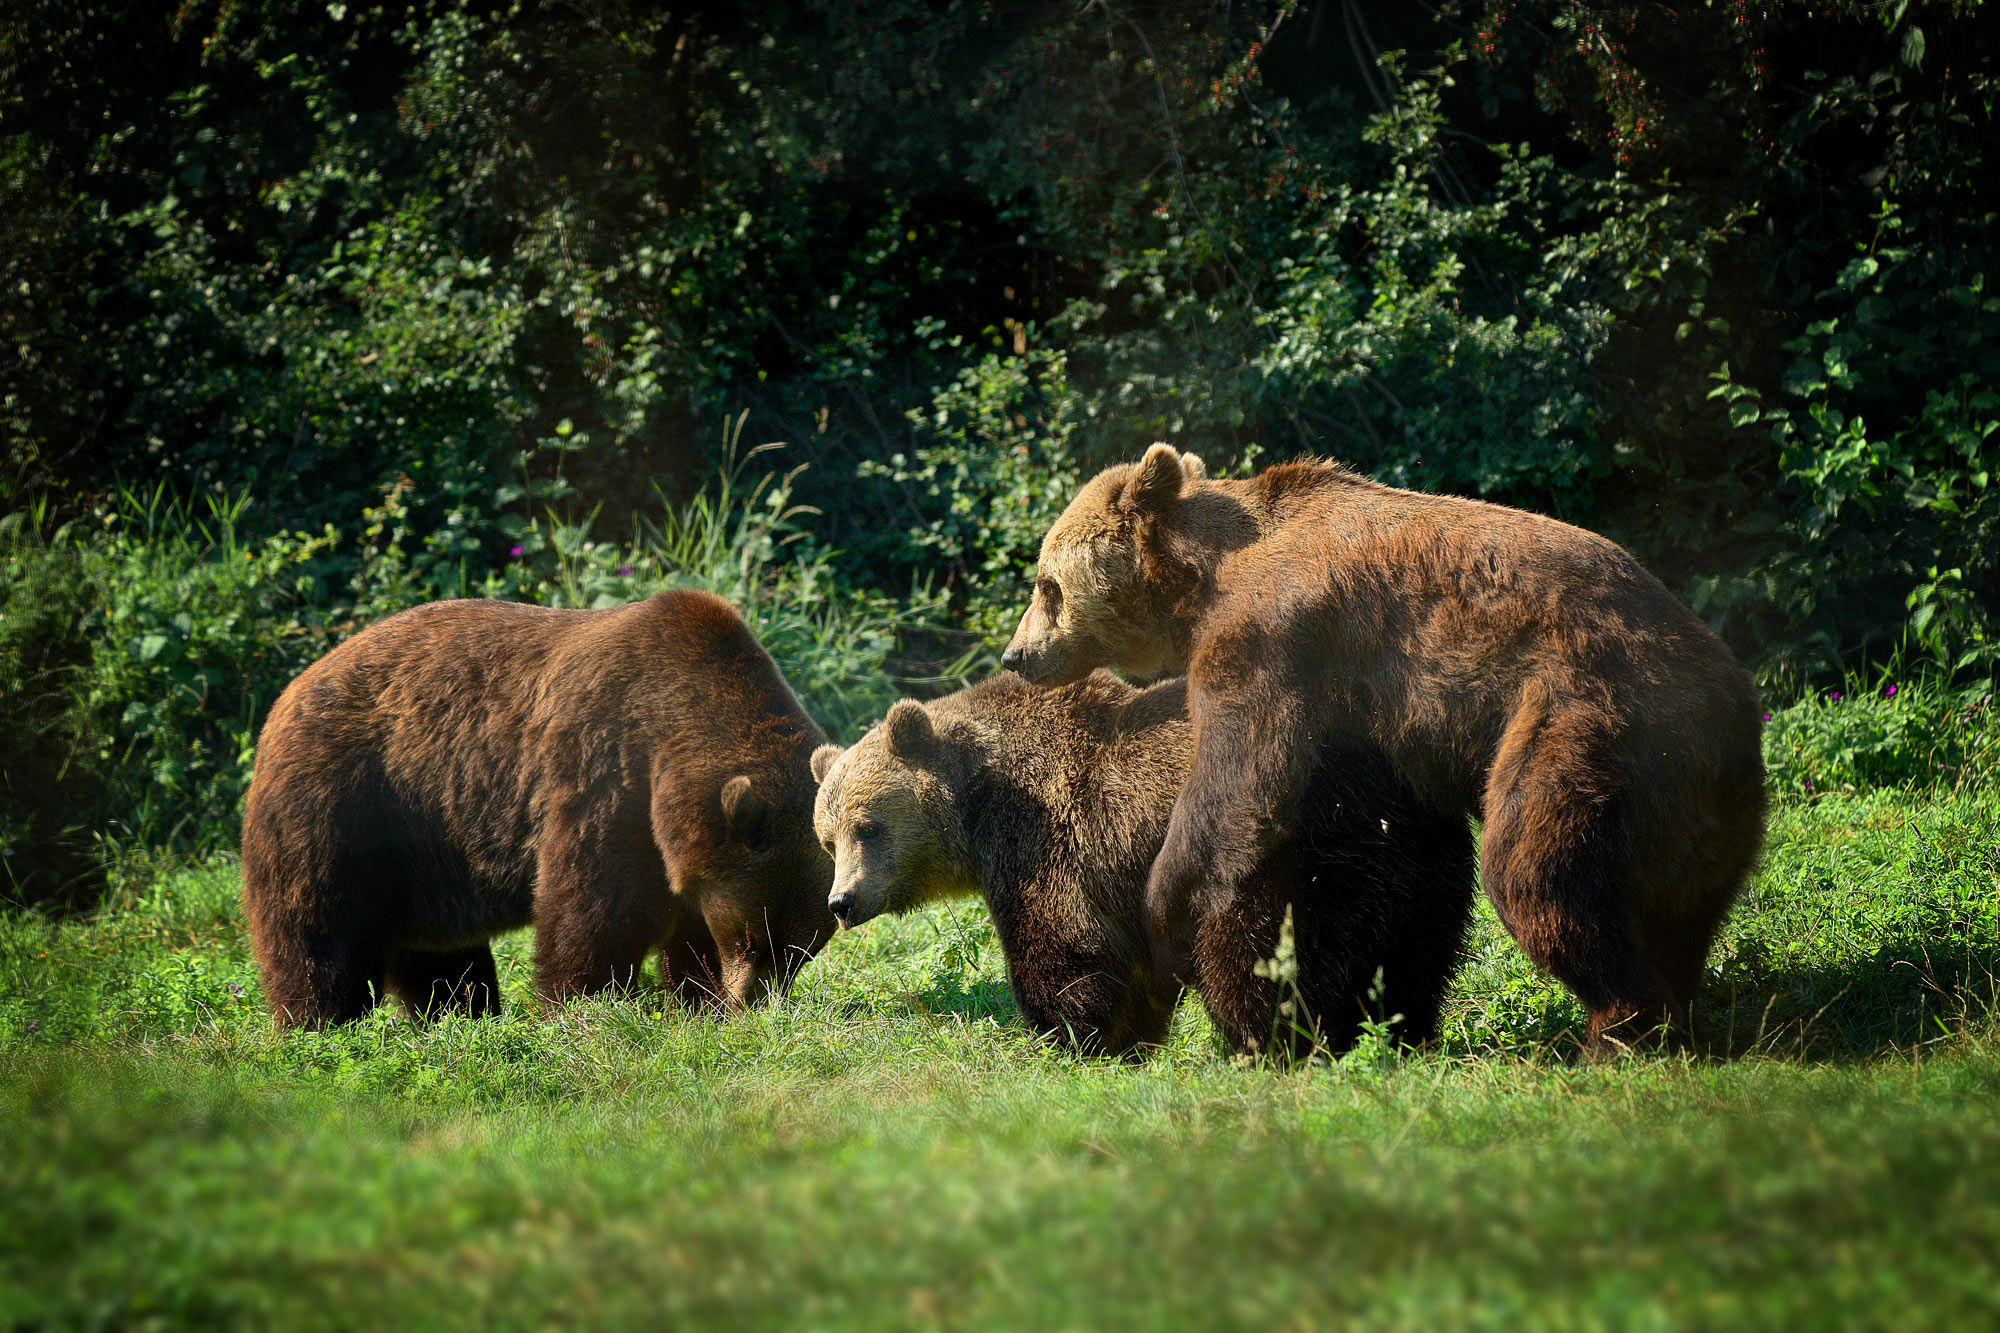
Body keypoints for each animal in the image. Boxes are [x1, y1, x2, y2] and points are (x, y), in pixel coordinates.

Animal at [242, 588, 836, 1020]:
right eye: (754, 937)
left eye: (802, 949)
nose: (754, 1002)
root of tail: (289, 691)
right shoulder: (605, 773)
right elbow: (594, 913)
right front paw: (582, 1005)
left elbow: (686, 934)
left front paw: (700, 1001)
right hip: (343, 804)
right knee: (319, 934)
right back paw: (318, 1023)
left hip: (420, 864)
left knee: (440, 960)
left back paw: (459, 1015)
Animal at [804, 668, 1480, 1056]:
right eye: (828, 840)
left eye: (868, 827)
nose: (841, 902)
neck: (979, 794)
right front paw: (1125, 1040)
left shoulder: (1046, 837)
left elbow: (1066, 948)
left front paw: (1071, 1039)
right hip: (1420, 862)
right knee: (1413, 956)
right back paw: (1404, 1035)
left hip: (1287, 850)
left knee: (1256, 956)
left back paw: (1269, 1047)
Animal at [1000, 446, 1768, 1048]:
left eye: (1046, 584)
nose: (1016, 655)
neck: (1202, 580)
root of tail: (1735, 691)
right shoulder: (1368, 723)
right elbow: (1395, 852)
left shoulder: (1272, 640)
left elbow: (1235, 788)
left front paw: (1168, 919)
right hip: (1690, 799)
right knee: (1678, 902)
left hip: (1593, 715)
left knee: (1537, 867)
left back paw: (1616, 1027)